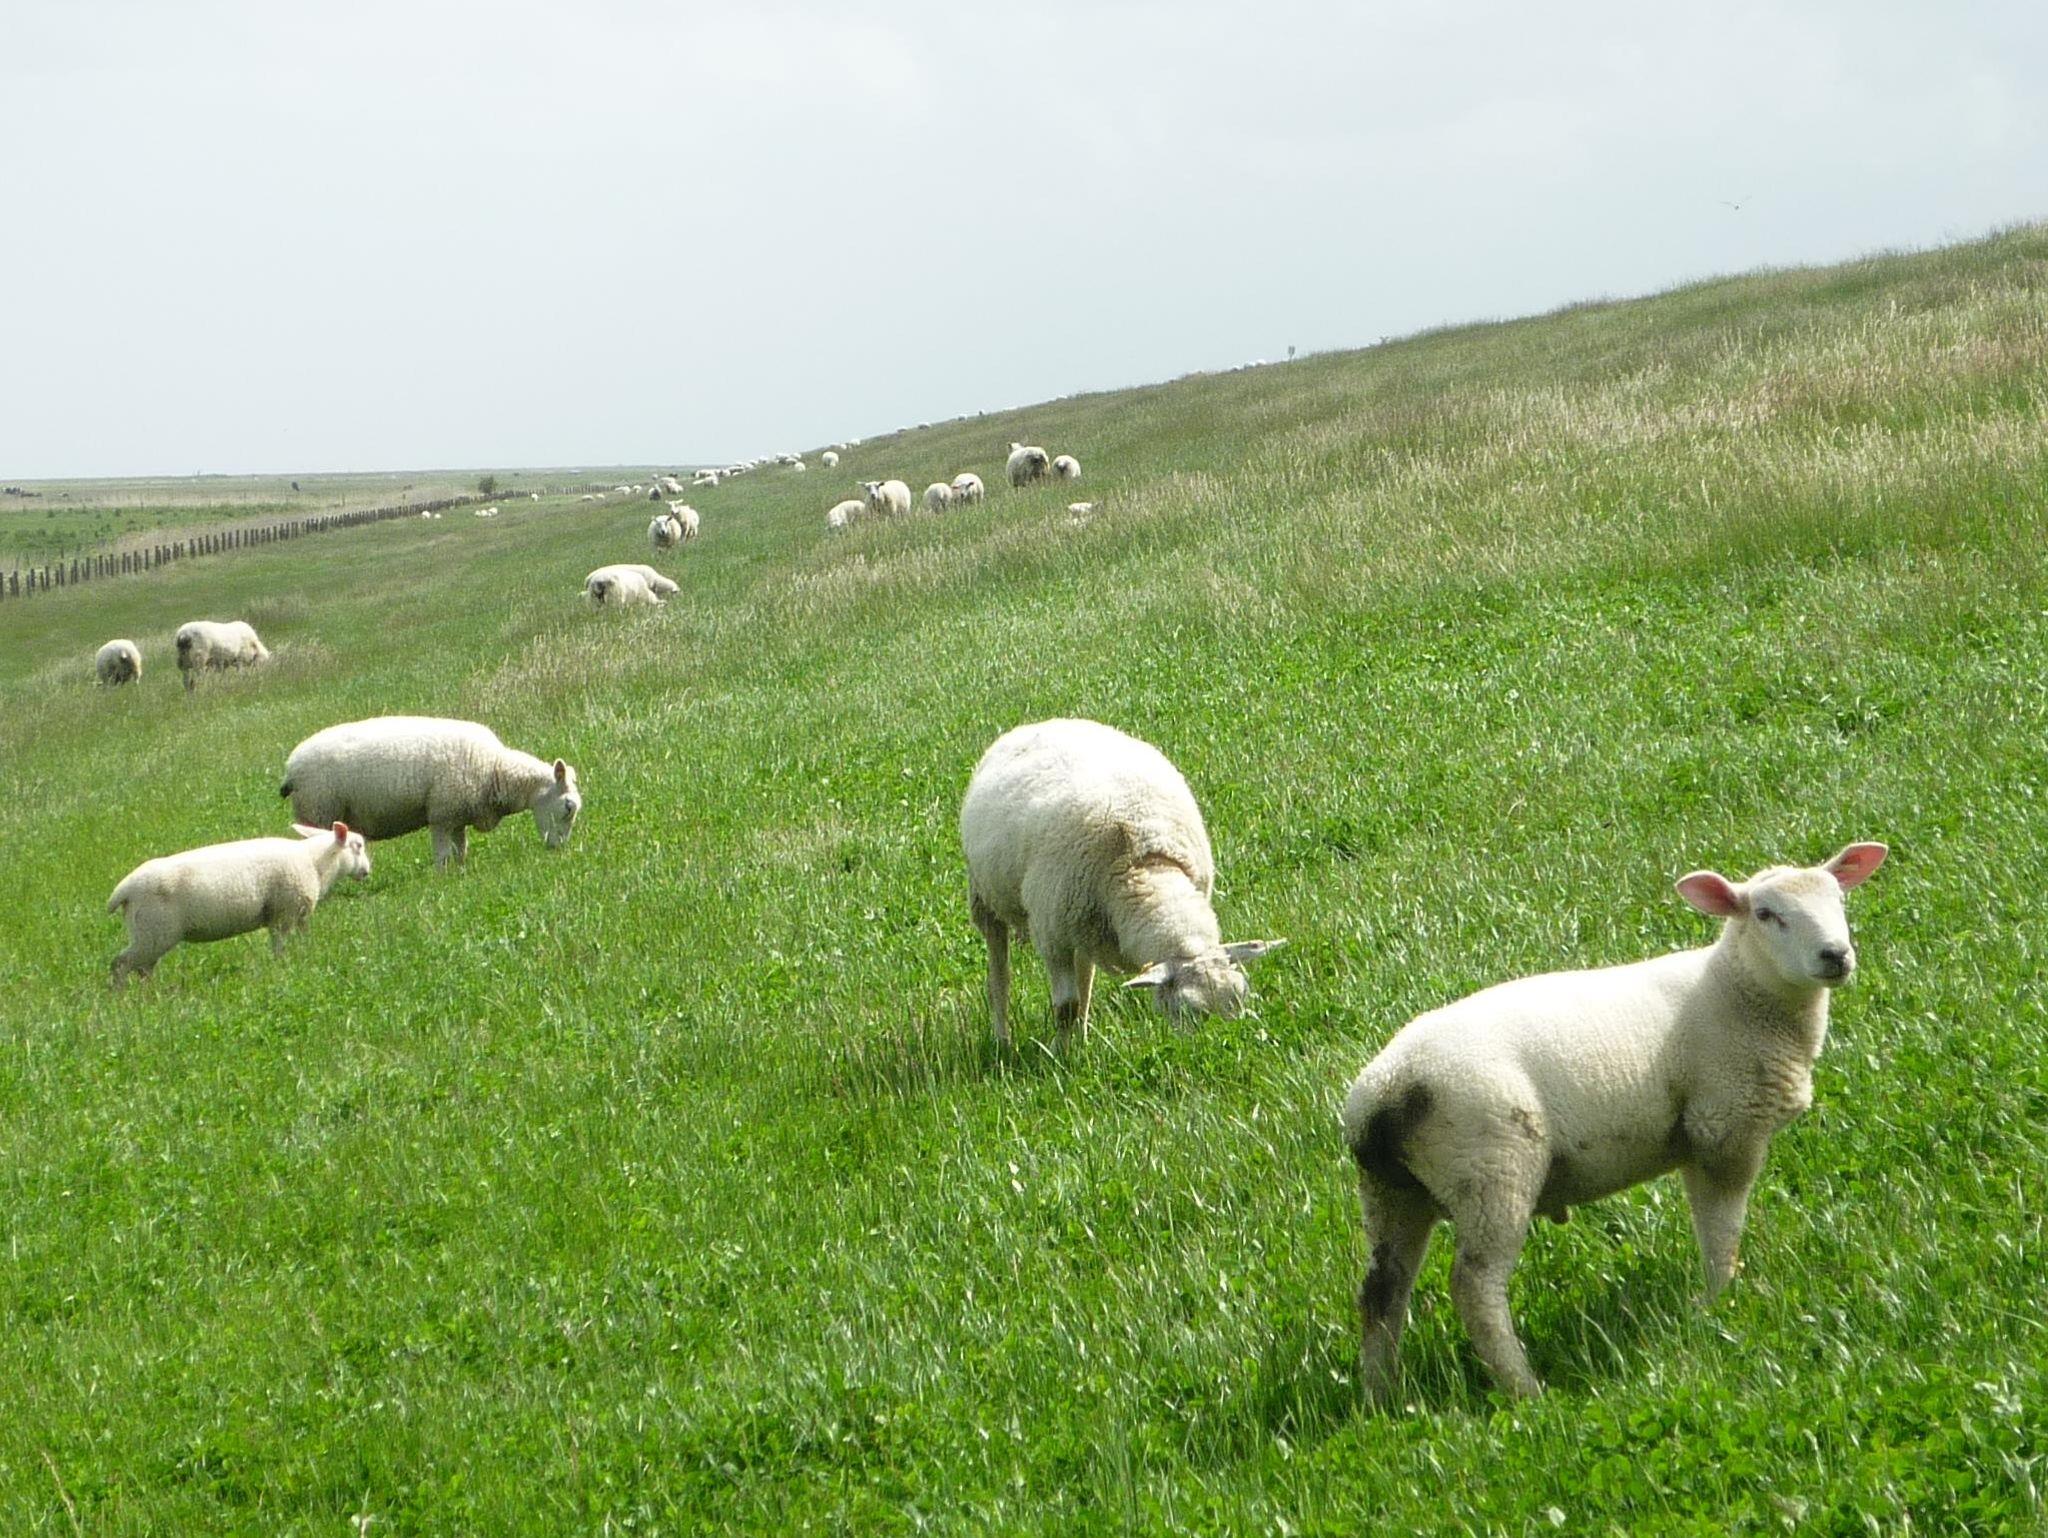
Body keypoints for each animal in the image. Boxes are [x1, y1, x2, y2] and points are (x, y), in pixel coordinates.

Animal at [107, 822, 372, 986]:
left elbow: (305, 937)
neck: (314, 862)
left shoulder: (299, 912)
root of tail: (124, 891)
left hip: (148, 934)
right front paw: (283, 968)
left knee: (142, 968)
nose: (367, 871)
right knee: (121, 964)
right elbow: (280, 946)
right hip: (154, 932)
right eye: (358, 846)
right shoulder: (283, 913)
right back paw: (122, 999)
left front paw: (307, 955)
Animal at [282, 715, 581, 871]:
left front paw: (461, 871)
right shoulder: (441, 815)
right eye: (568, 806)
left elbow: (461, 848)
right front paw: (442, 877)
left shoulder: (459, 815)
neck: (496, 770)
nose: (560, 849)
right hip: (317, 809)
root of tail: (291, 767)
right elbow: (442, 853)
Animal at [959, 718, 1284, 1046]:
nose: (1225, 1043)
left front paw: (1074, 1044)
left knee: (1085, 973)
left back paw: (1082, 1034)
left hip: (1081, 923)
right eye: (1188, 1008)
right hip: (985, 897)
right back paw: (1002, 1039)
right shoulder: (1052, 936)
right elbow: (1065, 1007)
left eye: (1241, 995)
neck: (1143, 864)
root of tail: (1046, 722)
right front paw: (1060, 1053)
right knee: (999, 975)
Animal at [1340, 842, 1890, 1403]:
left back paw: (1380, 1394)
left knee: (1382, 1290)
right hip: (1491, 1166)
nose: (1835, 956)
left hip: (1392, 1189)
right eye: (1765, 914)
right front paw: (1721, 1302)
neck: (1736, 990)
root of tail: (1383, 1094)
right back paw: (1525, 1390)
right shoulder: (1722, 1127)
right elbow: (1721, 1230)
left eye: (1840, 900)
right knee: (1474, 1286)